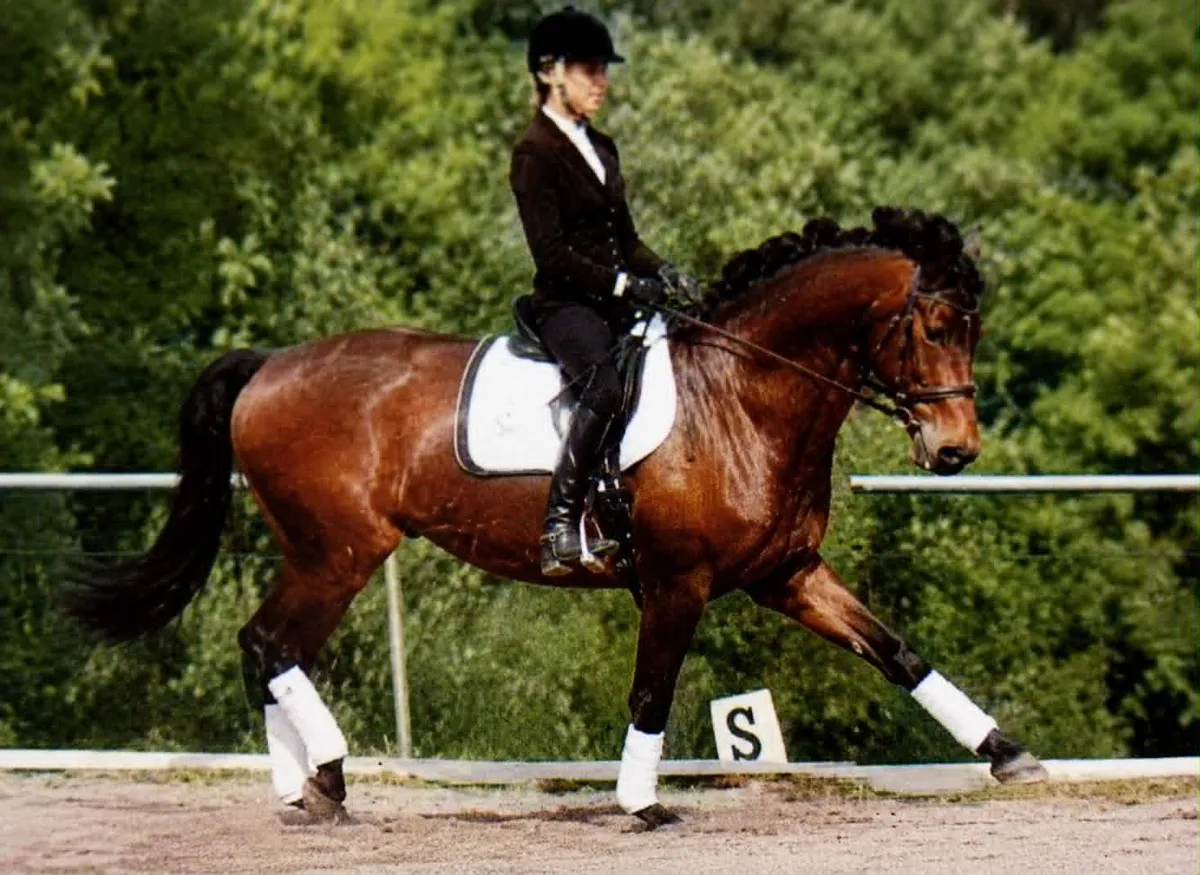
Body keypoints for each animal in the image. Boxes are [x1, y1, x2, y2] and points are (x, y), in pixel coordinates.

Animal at [67, 207, 1048, 829]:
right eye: (932, 327)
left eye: (973, 329)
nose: (955, 450)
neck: (744, 395)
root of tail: (271, 364)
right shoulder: (679, 582)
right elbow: (652, 689)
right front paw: (641, 801)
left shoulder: (787, 574)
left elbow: (898, 652)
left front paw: (1007, 751)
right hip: (338, 550)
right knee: (270, 643)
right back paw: (331, 777)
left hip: (321, 551)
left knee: (265, 648)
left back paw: (300, 790)